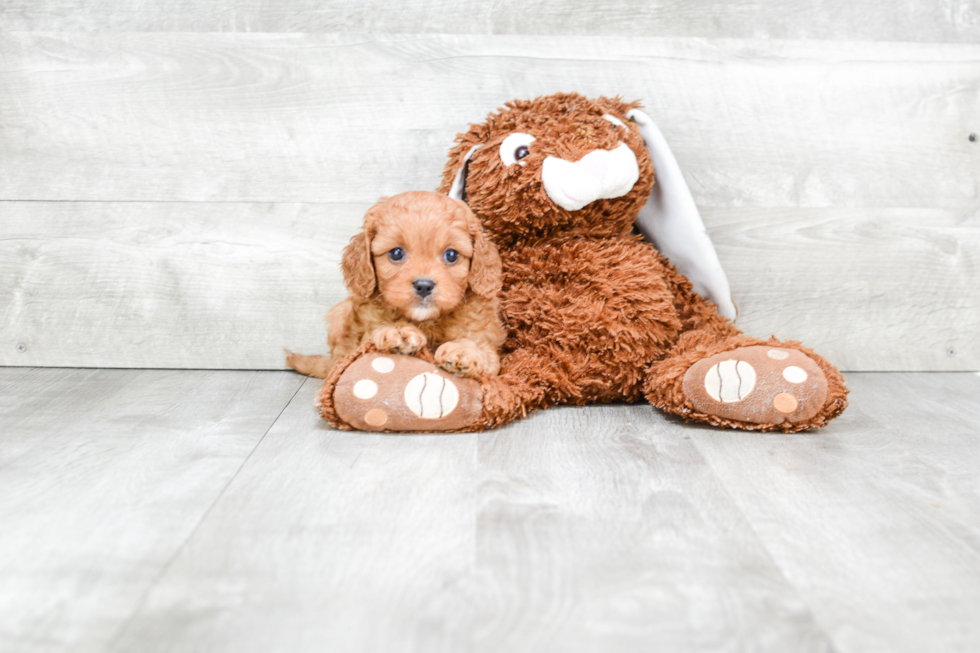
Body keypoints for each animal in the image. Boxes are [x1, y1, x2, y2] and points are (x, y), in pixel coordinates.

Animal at [284, 190, 502, 376]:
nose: (424, 285)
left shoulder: (485, 342)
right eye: (396, 253)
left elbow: (481, 349)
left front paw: (463, 350)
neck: (426, 322)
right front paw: (399, 331)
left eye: (451, 255)